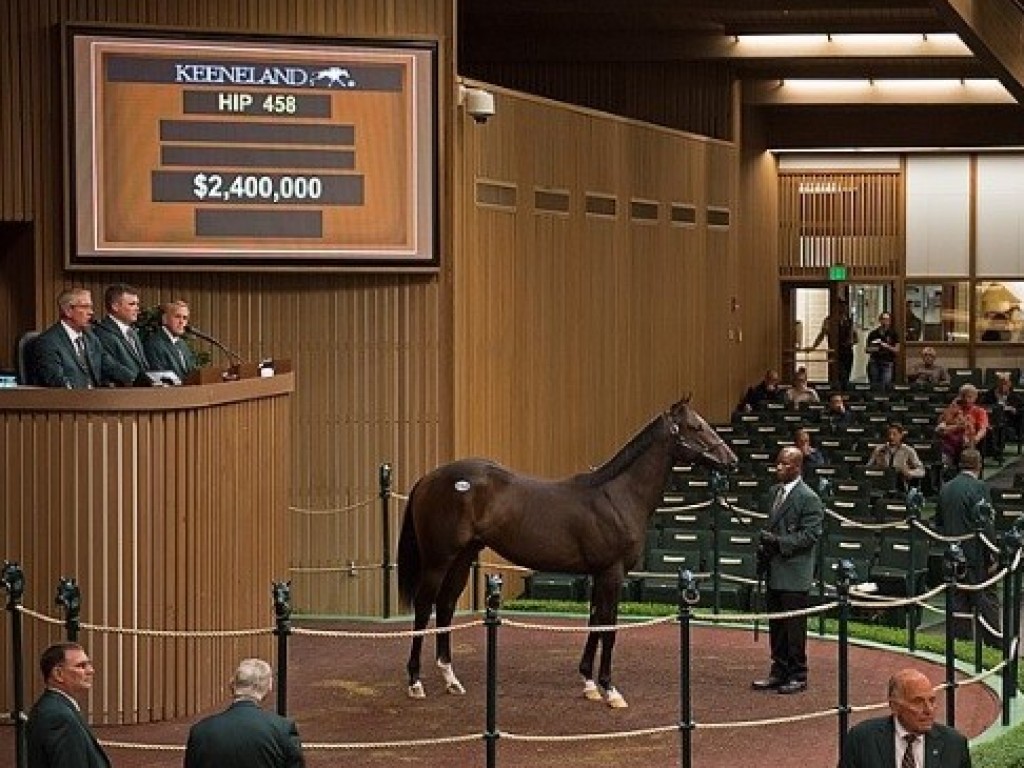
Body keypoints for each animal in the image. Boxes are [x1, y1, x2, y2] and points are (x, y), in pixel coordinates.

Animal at [393, 403, 737, 708]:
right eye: (695, 426)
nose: (731, 460)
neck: (617, 497)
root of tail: (428, 479)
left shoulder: (600, 574)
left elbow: (595, 621)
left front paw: (589, 684)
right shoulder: (612, 573)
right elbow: (609, 627)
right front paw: (610, 689)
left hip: (463, 558)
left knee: (446, 605)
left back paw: (451, 679)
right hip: (438, 560)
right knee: (424, 608)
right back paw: (415, 681)